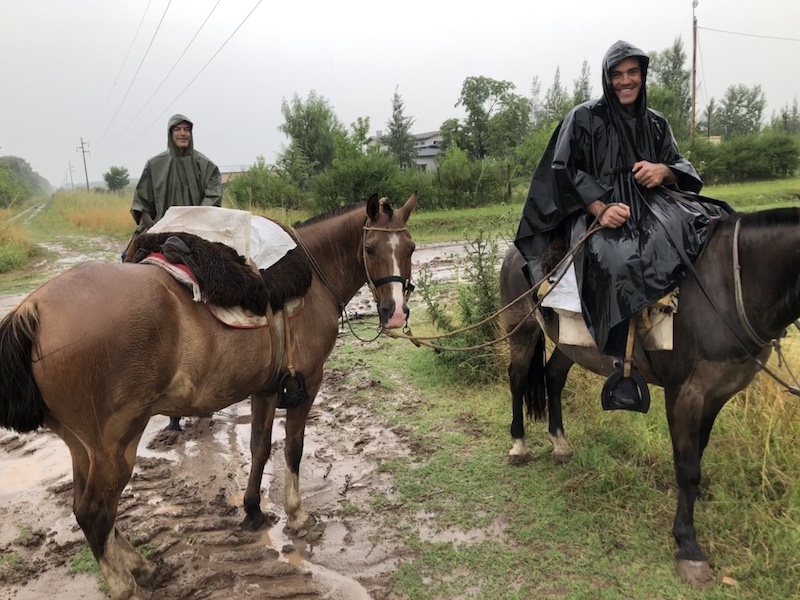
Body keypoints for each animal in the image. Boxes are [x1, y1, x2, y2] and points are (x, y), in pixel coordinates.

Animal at [1, 195, 418, 596]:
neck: (312, 278)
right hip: (115, 443)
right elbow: (292, 448)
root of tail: (34, 309)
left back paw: (139, 564)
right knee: (95, 511)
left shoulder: (266, 388)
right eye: (370, 248)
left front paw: (252, 509)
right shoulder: (308, 383)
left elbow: (259, 446)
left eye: (410, 248)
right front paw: (296, 514)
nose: (396, 312)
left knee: (83, 507)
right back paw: (124, 584)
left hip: (81, 445)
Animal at [504, 209, 800, 588]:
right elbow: (688, 468)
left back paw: (560, 443)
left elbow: (697, 454)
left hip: (571, 344)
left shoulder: (717, 394)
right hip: (521, 329)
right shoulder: (686, 392)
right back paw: (518, 445)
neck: (731, 285)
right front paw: (688, 546)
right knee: (517, 380)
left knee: (554, 377)